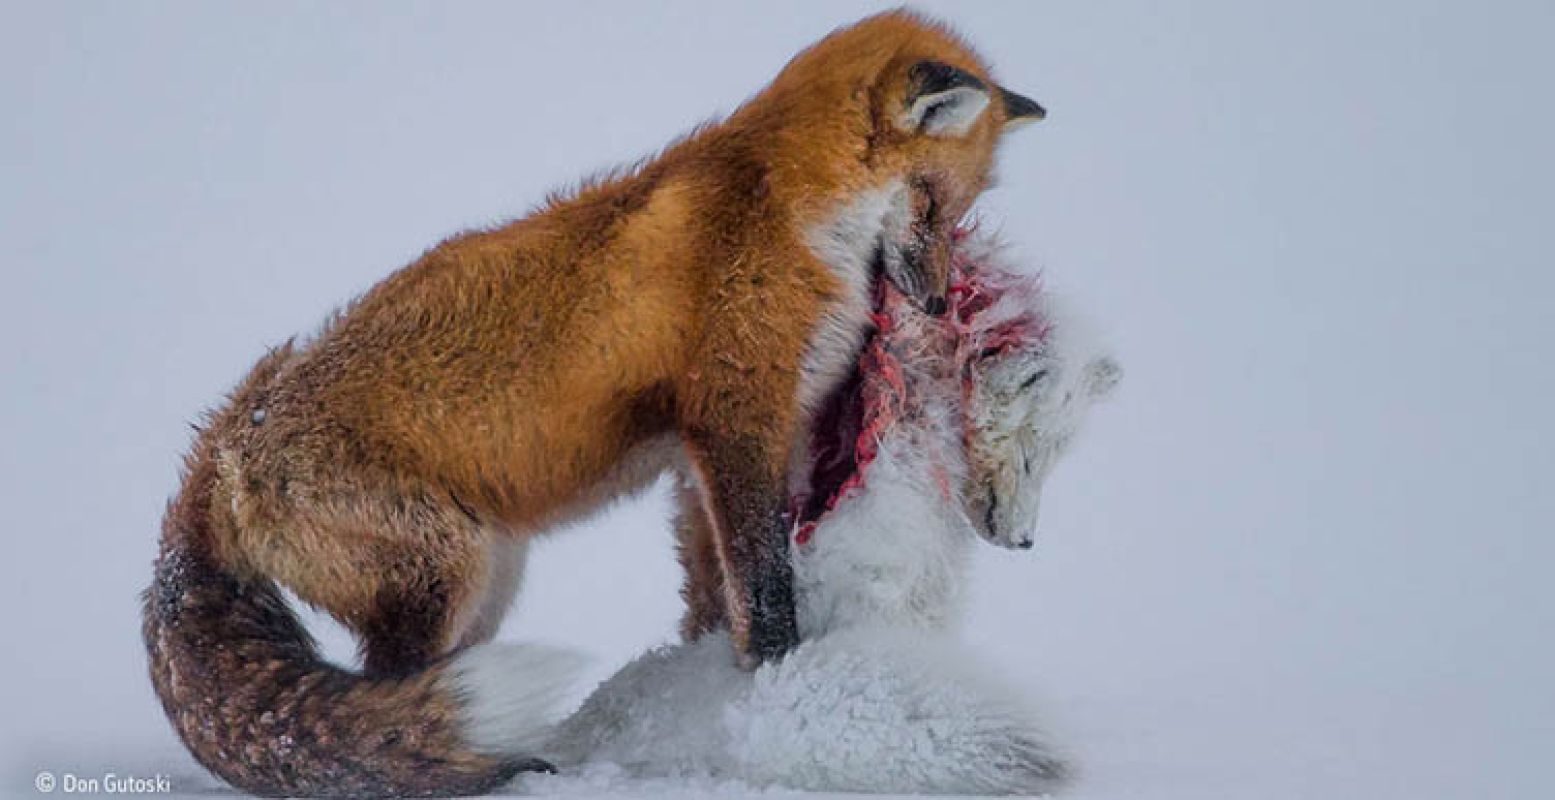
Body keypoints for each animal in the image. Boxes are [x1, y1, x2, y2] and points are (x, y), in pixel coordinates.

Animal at [143, 9, 1044, 793]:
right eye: (929, 199)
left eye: (957, 210)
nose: (935, 303)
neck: (788, 210)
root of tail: (220, 449)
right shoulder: (734, 420)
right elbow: (762, 590)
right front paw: (777, 683)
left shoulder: (701, 460)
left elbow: (712, 599)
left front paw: (712, 694)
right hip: (447, 571)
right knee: (386, 714)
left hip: (487, 583)